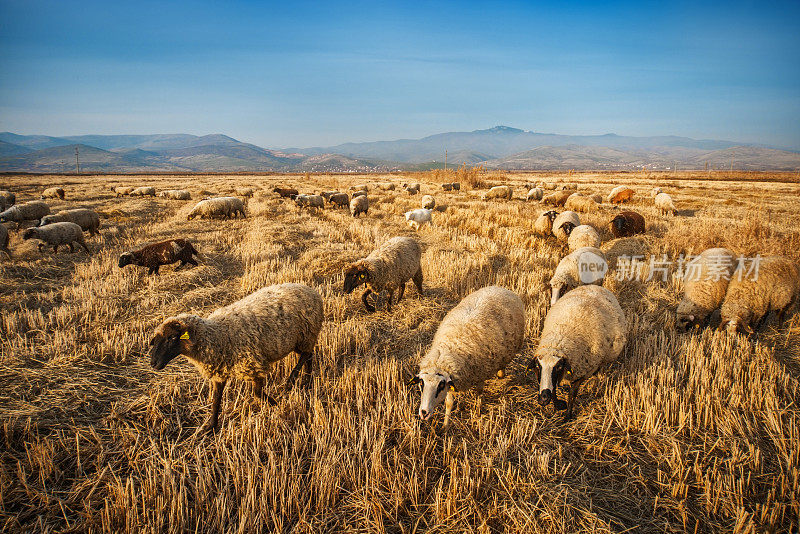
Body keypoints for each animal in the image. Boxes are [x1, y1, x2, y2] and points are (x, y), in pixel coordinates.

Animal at [148, 282, 324, 434]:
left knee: (306, 355)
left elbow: (257, 393)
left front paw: (277, 404)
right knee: (309, 356)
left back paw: (291, 380)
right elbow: (216, 399)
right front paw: (211, 426)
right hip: (300, 339)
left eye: (172, 338)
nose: (153, 363)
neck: (216, 335)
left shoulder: (254, 365)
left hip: (306, 334)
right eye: (155, 340)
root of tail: (309, 289)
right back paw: (307, 381)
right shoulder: (219, 372)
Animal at [416, 286, 528, 430]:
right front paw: (445, 425)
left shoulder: (480, 373)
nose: (423, 413)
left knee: (503, 364)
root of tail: (498, 287)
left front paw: (478, 411)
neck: (451, 347)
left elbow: (479, 392)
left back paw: (501, 373)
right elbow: (449, 403)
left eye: (440, 385)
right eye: (421, 383)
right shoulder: (453, 380)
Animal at [528, 286, 628, 426]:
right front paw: (558, 405)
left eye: (559, 367)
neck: (559, 339)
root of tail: (594, 286)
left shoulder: (581, 373)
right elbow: (553, 389)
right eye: (538, 366)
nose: (543, 399)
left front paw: (568, 416)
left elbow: (572, 394)